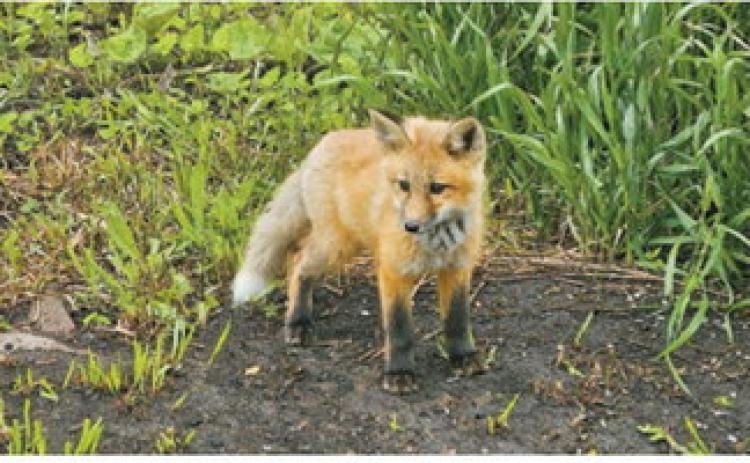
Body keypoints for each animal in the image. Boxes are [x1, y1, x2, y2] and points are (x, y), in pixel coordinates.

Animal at [232, 109, 486, 394]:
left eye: (437, 188)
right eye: (404, 185)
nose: (410, 226)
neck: (437, 241)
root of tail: (322, 144)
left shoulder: (458, 267)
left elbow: (457, 321)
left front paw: (462, 356)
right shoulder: (393, 271)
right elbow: (399, 330)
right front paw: (399, 372)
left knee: (297, 256)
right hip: (336, 246)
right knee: (297, 261)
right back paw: (298, 322)